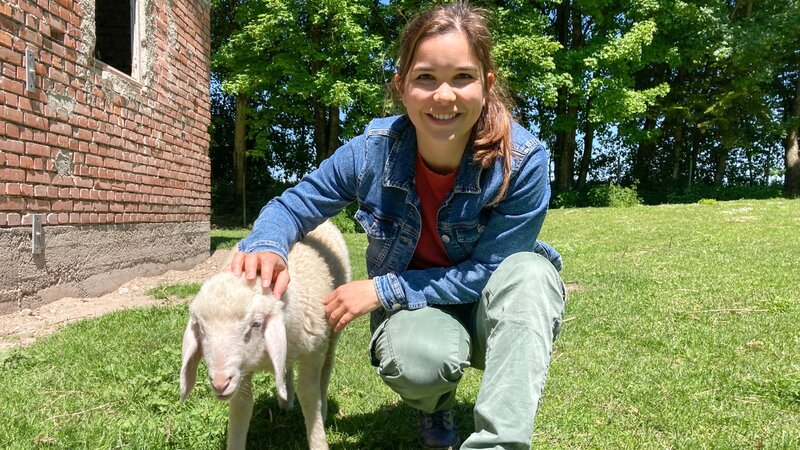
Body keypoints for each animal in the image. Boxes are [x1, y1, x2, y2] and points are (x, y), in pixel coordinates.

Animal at [181, 221, 350, 450]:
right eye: (200, 328)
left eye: (256, 324)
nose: (220, 382)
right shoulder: (241, 369)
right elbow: (241, 406)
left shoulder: (313, 353)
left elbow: (308, 394)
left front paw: (318, 440)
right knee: (286, 367)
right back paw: (285, 401)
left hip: (331, 331)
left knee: (326, 370)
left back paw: (321, 410)